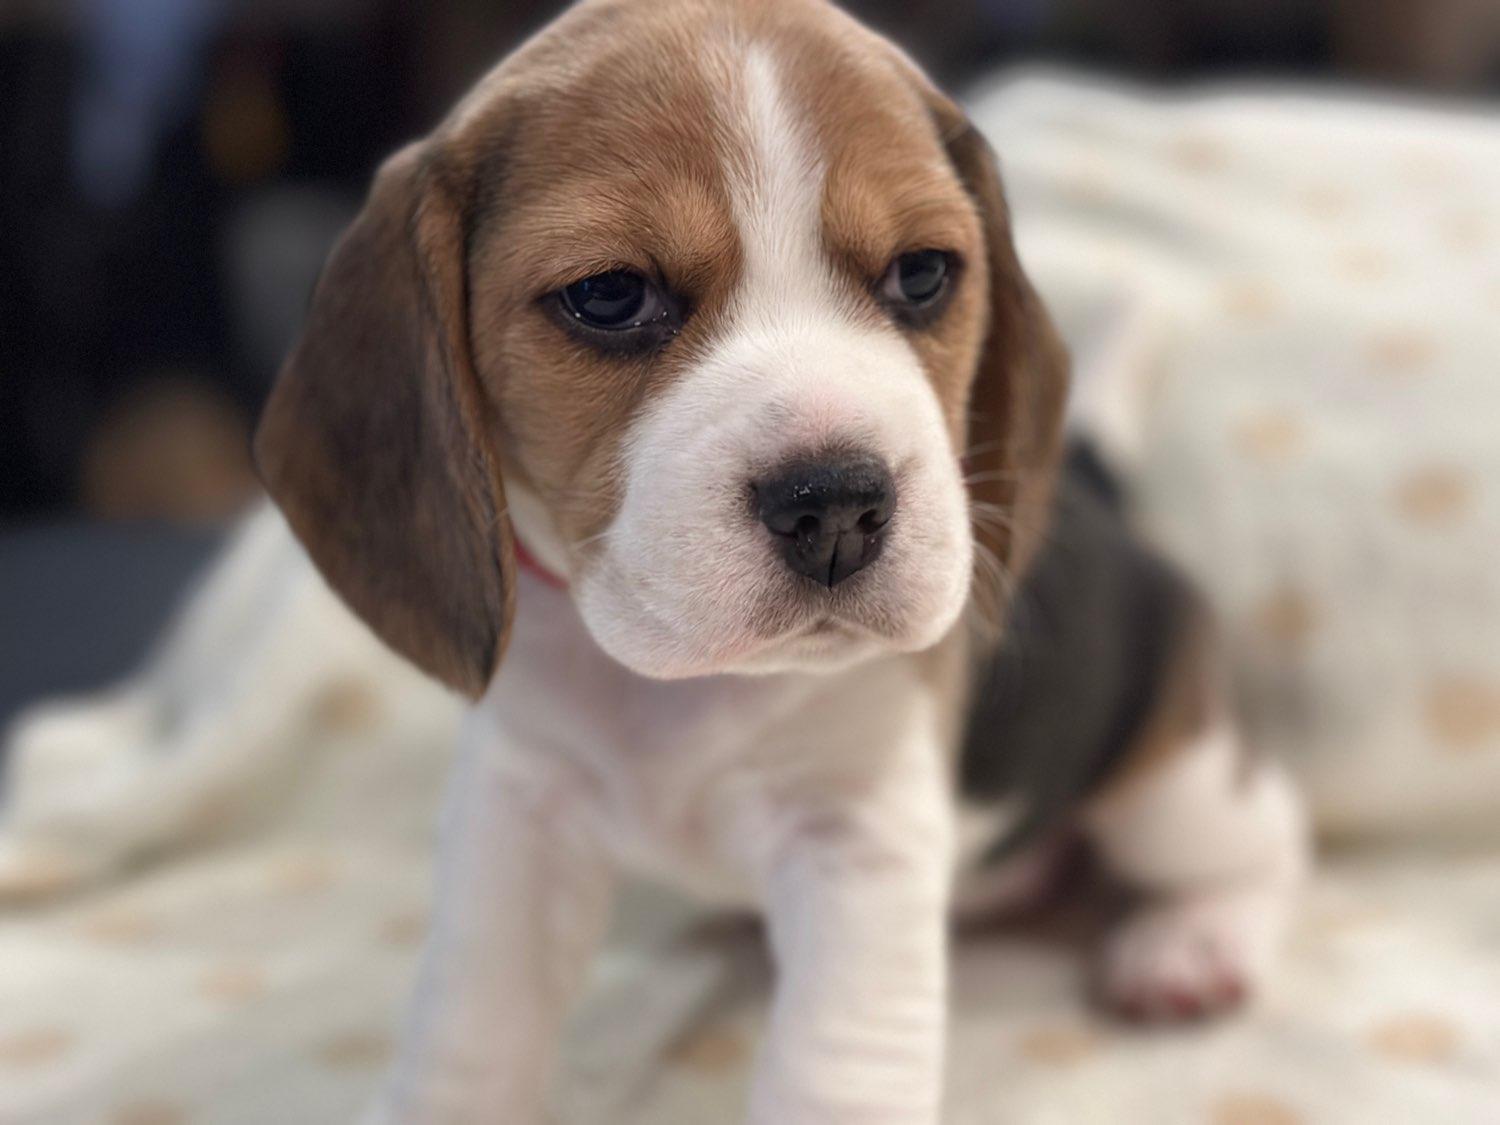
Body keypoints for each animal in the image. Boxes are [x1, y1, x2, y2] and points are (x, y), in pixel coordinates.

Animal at [4, 1, 1309, 1120]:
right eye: (610, 296)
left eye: (924, 275)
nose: (838, 503)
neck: (685, 690)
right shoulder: (517, 812)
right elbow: (468, 1025)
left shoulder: (859, 843)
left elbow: (833, 1065)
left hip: (1173, 783)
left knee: (1268, 835)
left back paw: (1192, 940)